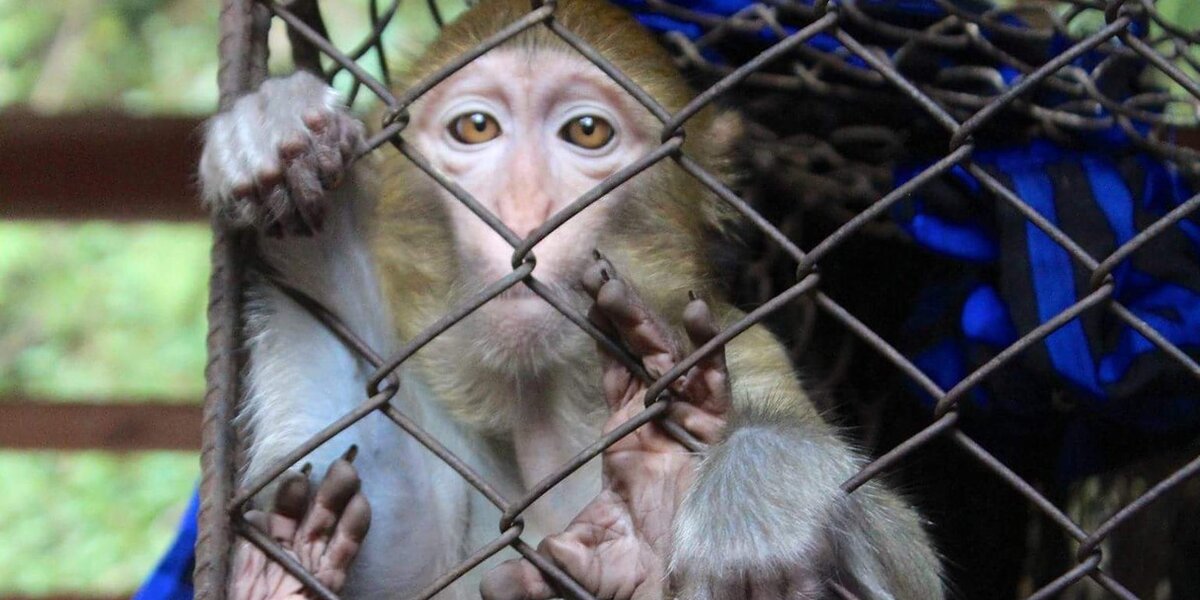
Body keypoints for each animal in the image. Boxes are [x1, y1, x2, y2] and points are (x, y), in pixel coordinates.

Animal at [199, 0, 945, 595]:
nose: (525, 207)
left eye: (587, 132)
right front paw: (284, 148)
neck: (541, 412)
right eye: (476, 127)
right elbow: (399, 548)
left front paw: (753, 484)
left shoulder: (748, 349)